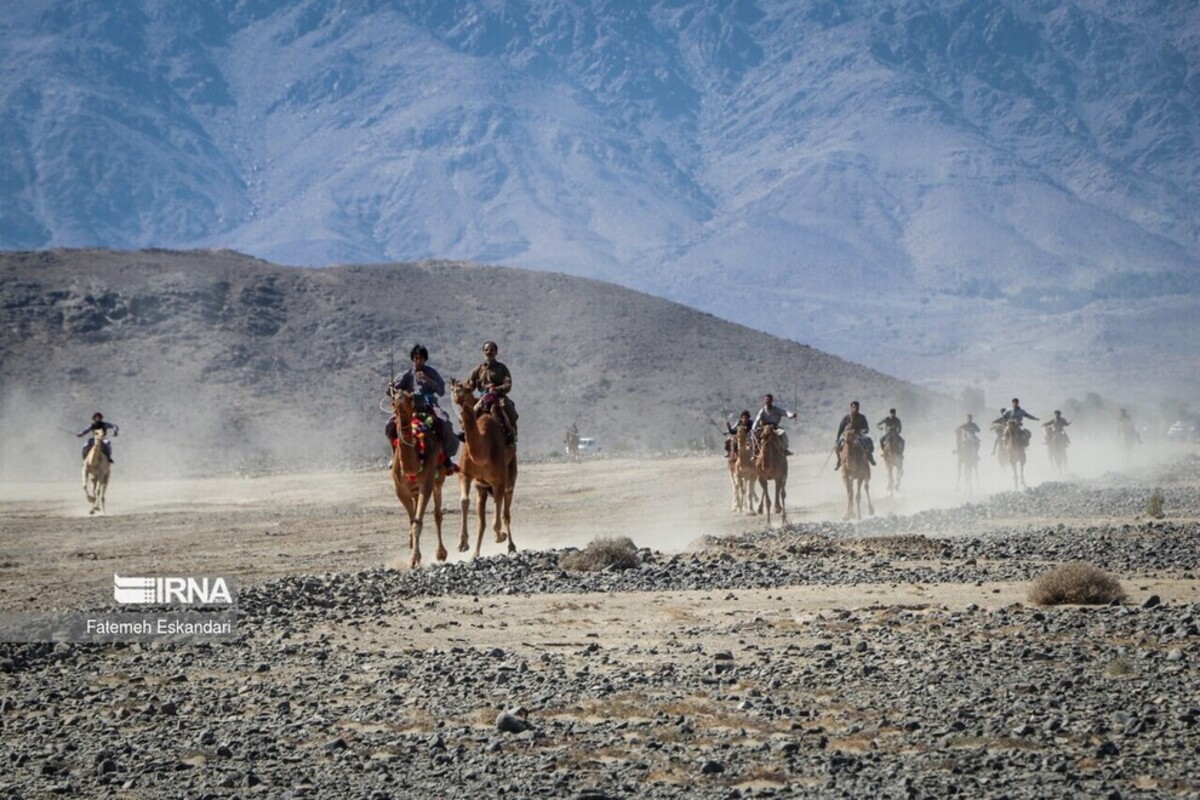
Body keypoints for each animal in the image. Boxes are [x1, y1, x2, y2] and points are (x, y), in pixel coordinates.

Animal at [391, 388, 448, 568]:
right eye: (393, 400)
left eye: (409, 398)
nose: (399, 403)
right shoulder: (400, 490)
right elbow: (412, 521)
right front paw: (414, 553)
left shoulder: (427, 484)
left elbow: (417, 523)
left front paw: (414, 559)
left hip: (438, 479)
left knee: (437, 514)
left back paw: (441, 553)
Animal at [451, 381, 516, 556]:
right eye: (453, 388)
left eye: (467, 389)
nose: (458, 396)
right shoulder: (465, 474)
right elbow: (464, 501)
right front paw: (462, 544)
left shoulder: (498, 480)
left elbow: (498, 515)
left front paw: (500, 536)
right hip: (482, 487)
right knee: (482, 521)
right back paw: (476, 553)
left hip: (510, 474)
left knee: (506, 511)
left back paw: (511, 546)